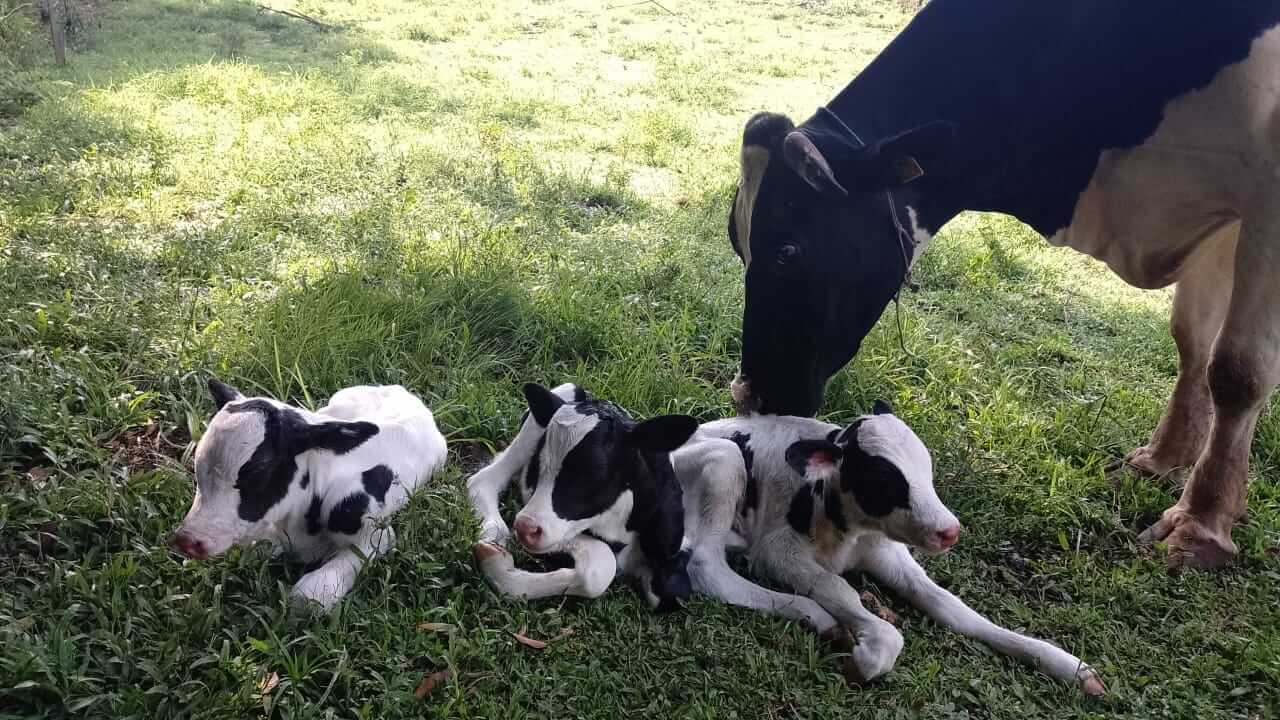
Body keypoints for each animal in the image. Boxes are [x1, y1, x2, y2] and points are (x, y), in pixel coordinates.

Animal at [169, 379, 447, 611]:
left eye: (259, 469)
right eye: (198, 465)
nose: (186, 540)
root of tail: (402, 391)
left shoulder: (376, 532)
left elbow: (309, 596)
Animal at [727, 1, 1280, 569]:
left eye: (788, 251)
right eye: (737, 244)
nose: (749, 397)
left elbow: (1237, 369)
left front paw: (1201, 523)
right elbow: (1192, 341)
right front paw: (1163, 458)